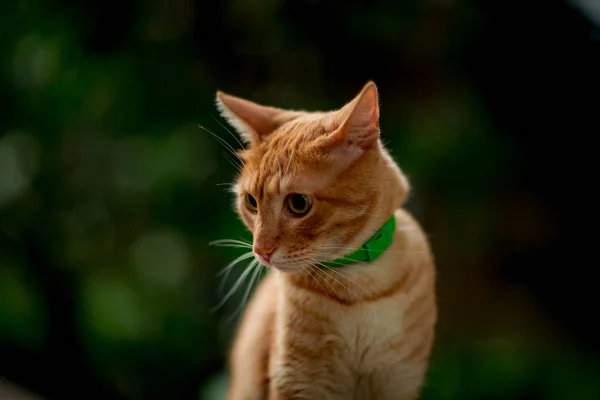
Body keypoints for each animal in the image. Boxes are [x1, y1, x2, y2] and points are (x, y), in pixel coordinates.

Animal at [214, 82, 436, 400]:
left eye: (298, 204)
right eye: (251, 202)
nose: (260, 250)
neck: (359, 289)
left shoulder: (397, 381)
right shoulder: (299, 382)